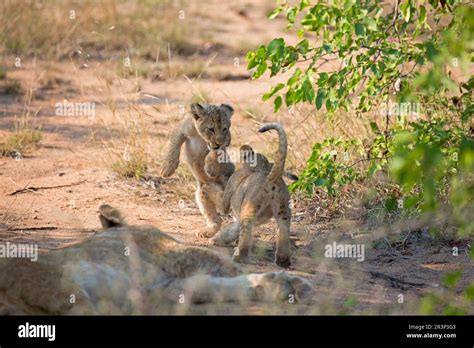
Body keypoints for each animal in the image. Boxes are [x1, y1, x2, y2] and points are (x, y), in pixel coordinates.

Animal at [0, 205, 312, 314]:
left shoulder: (167, 288)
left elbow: (222, 287)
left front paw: (283, 287)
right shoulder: (177, 254)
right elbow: (229, 268)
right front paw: (294, 284)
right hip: (61, 289)